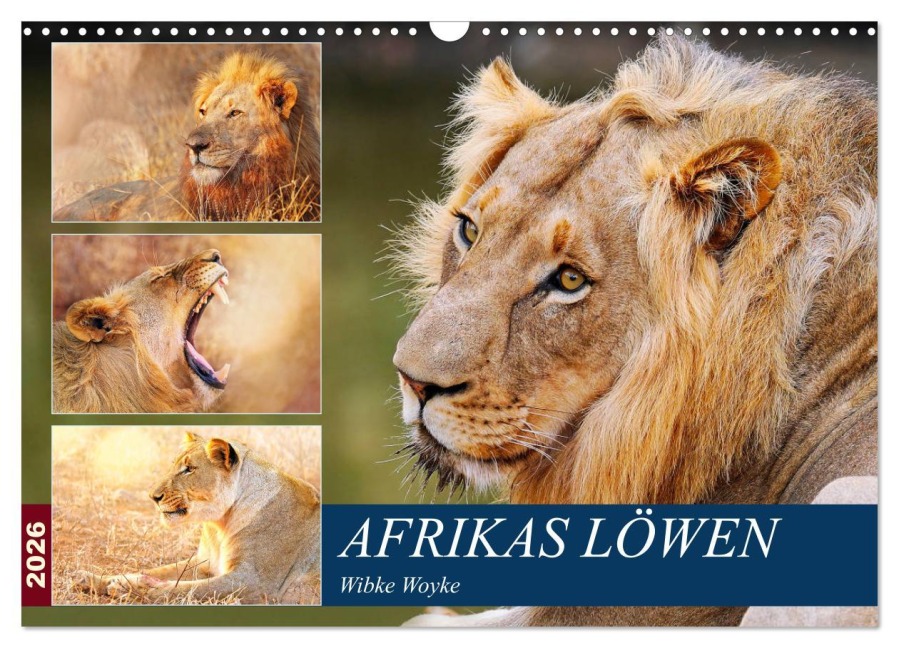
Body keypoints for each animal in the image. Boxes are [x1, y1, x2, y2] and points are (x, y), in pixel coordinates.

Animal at [74, 432, 321, 603]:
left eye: (189, 469)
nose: (153, 496)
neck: (220, 524)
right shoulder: (205, 562)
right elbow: (157, 571)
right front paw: (94, 579)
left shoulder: (256, 582)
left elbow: (189, 588)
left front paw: (132, 588)